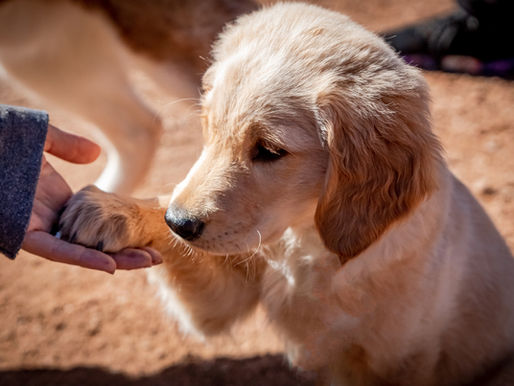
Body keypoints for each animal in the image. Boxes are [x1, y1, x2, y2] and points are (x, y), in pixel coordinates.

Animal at [57, 3, 512, 386]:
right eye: (210, 129)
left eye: (270, 151)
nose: (180, 223)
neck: (309, 242)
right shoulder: (221, 297)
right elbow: (167, 213)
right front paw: (111, 209)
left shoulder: (402, 362)